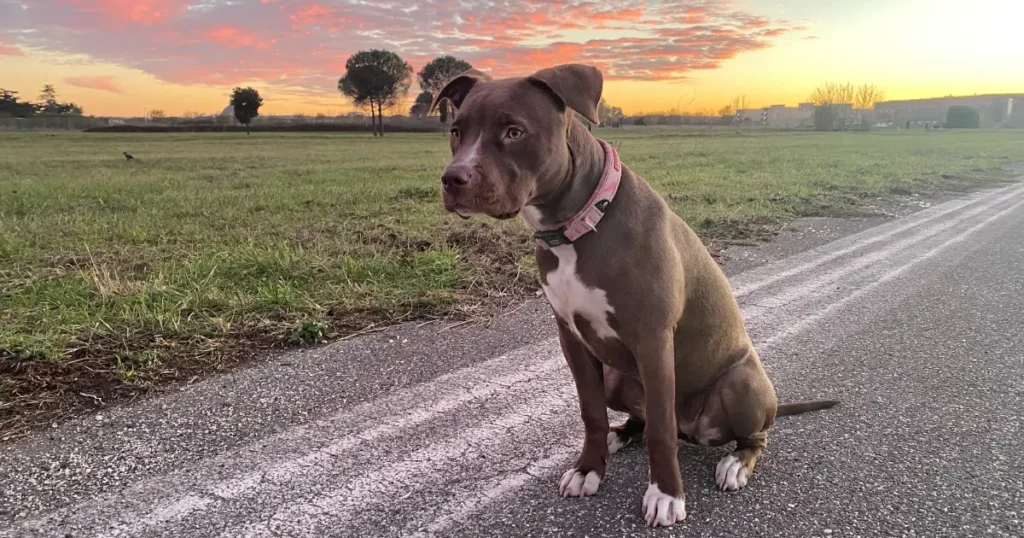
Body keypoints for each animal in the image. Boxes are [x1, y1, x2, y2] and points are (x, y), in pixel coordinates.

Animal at [428, 65, 835, 524]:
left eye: (514, 131)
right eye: (456, 131)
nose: (453, 178)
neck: (579, 224)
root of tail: (693, 430)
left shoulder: (654, 339)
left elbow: (660, 431)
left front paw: (666, 494)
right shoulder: (572, 339)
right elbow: (591, 413)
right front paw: (588, 469)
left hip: (742, 383)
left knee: (748, 435)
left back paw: (735, 464)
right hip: (616, 376)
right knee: (640, 418)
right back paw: (620, 435)